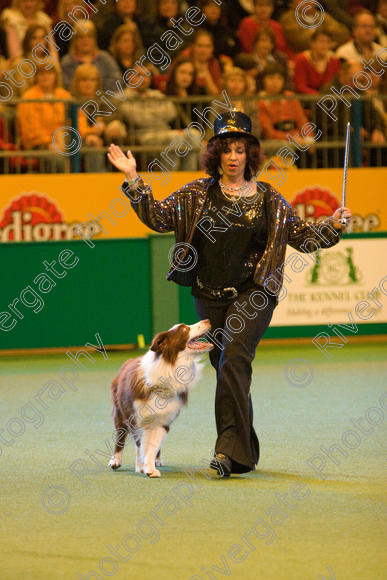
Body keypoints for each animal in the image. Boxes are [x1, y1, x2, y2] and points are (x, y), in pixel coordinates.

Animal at [107, 320, 214, 478]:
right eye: (184, 329)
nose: (207, 320)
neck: (169, 367)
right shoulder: (136, 417)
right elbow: (140, 444)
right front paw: (141, 466)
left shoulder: (163, 420)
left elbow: (152, 446)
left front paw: (150, 468)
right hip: (119, 411)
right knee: (120, 436)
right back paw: (116, 460)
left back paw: (156, 460)